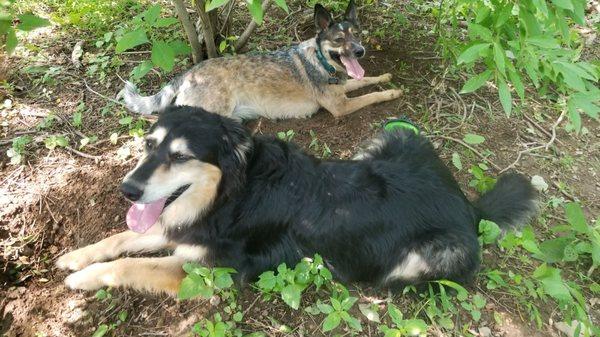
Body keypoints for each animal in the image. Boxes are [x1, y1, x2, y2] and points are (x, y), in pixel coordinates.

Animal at [58, 105, 540, 294]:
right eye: (148, 146)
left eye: (180, 157)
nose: (128, 190)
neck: (232, 192)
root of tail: (468, 205)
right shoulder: (185, 228)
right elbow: (123, 239)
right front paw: (76, 257)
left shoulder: (214, 269)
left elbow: (130, 264)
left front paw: (82, 280)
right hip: (394, 135)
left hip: (431, 256)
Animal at [119, 0, 400, 119]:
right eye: (339, 40)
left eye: (358, 34)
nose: (360, 51)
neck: (321, 61)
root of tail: (190, 72)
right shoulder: (340, 107)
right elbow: (373, 95)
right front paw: (393, 92)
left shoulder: (344, 88)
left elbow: (365, 81)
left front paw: (385, 76)